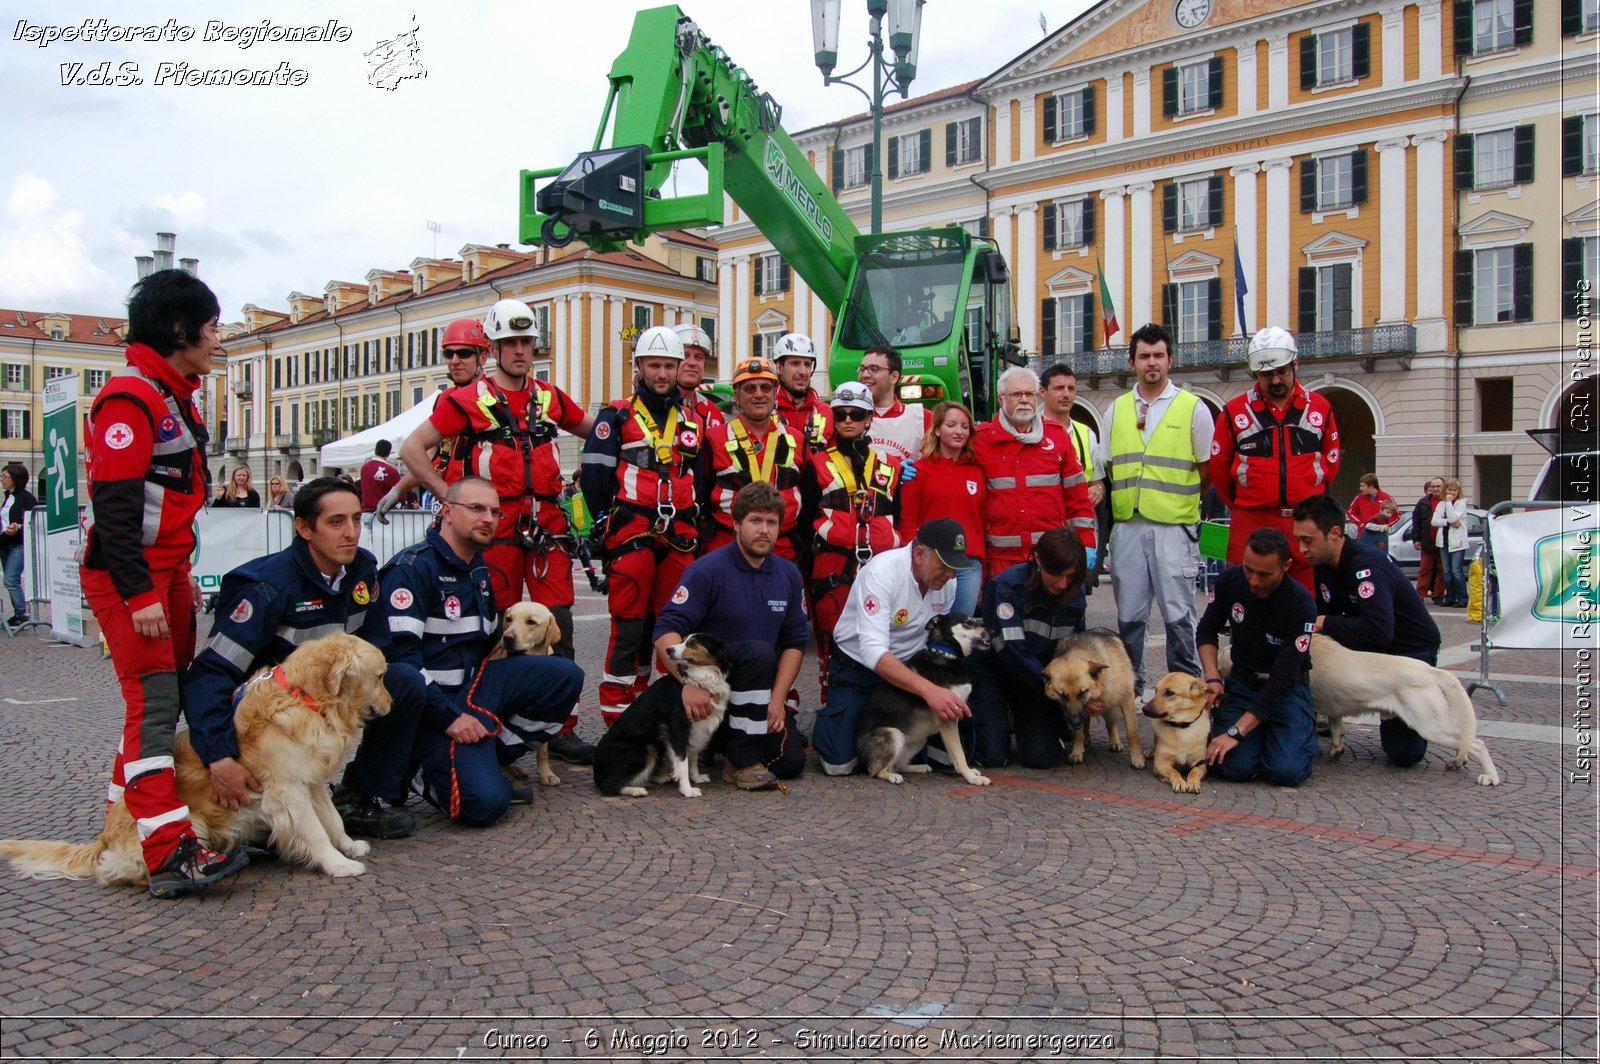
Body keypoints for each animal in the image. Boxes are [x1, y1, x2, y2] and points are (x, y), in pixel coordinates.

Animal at [1, 630, 395, 889]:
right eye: (379, 677)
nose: (391, 705)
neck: (305, 698)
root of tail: (104, 838)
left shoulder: (309, 779)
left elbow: (331, 819)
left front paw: (348, 846)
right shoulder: (287, 790)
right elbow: (314, 830)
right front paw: (337, 864)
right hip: (191, 822)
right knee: (116, 870)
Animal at [505, 601, 576, 784]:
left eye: (531, 622)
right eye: (508, 619)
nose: (507, 638)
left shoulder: (546, 713)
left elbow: (543, 752)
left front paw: (546, 774)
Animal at [1043, 627, 1145, 768]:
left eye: (1083, 692)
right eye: (1062, 695)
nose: (1074, 722)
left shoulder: (1127, 700)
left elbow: (1132, 732)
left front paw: (1137, 758)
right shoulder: (1078, 712)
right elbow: (1078, 734)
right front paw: (1077, 752)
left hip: (1112, 708)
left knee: (1110, 724)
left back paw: (1114, 741)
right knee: (1087, 722)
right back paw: (1086, 738)